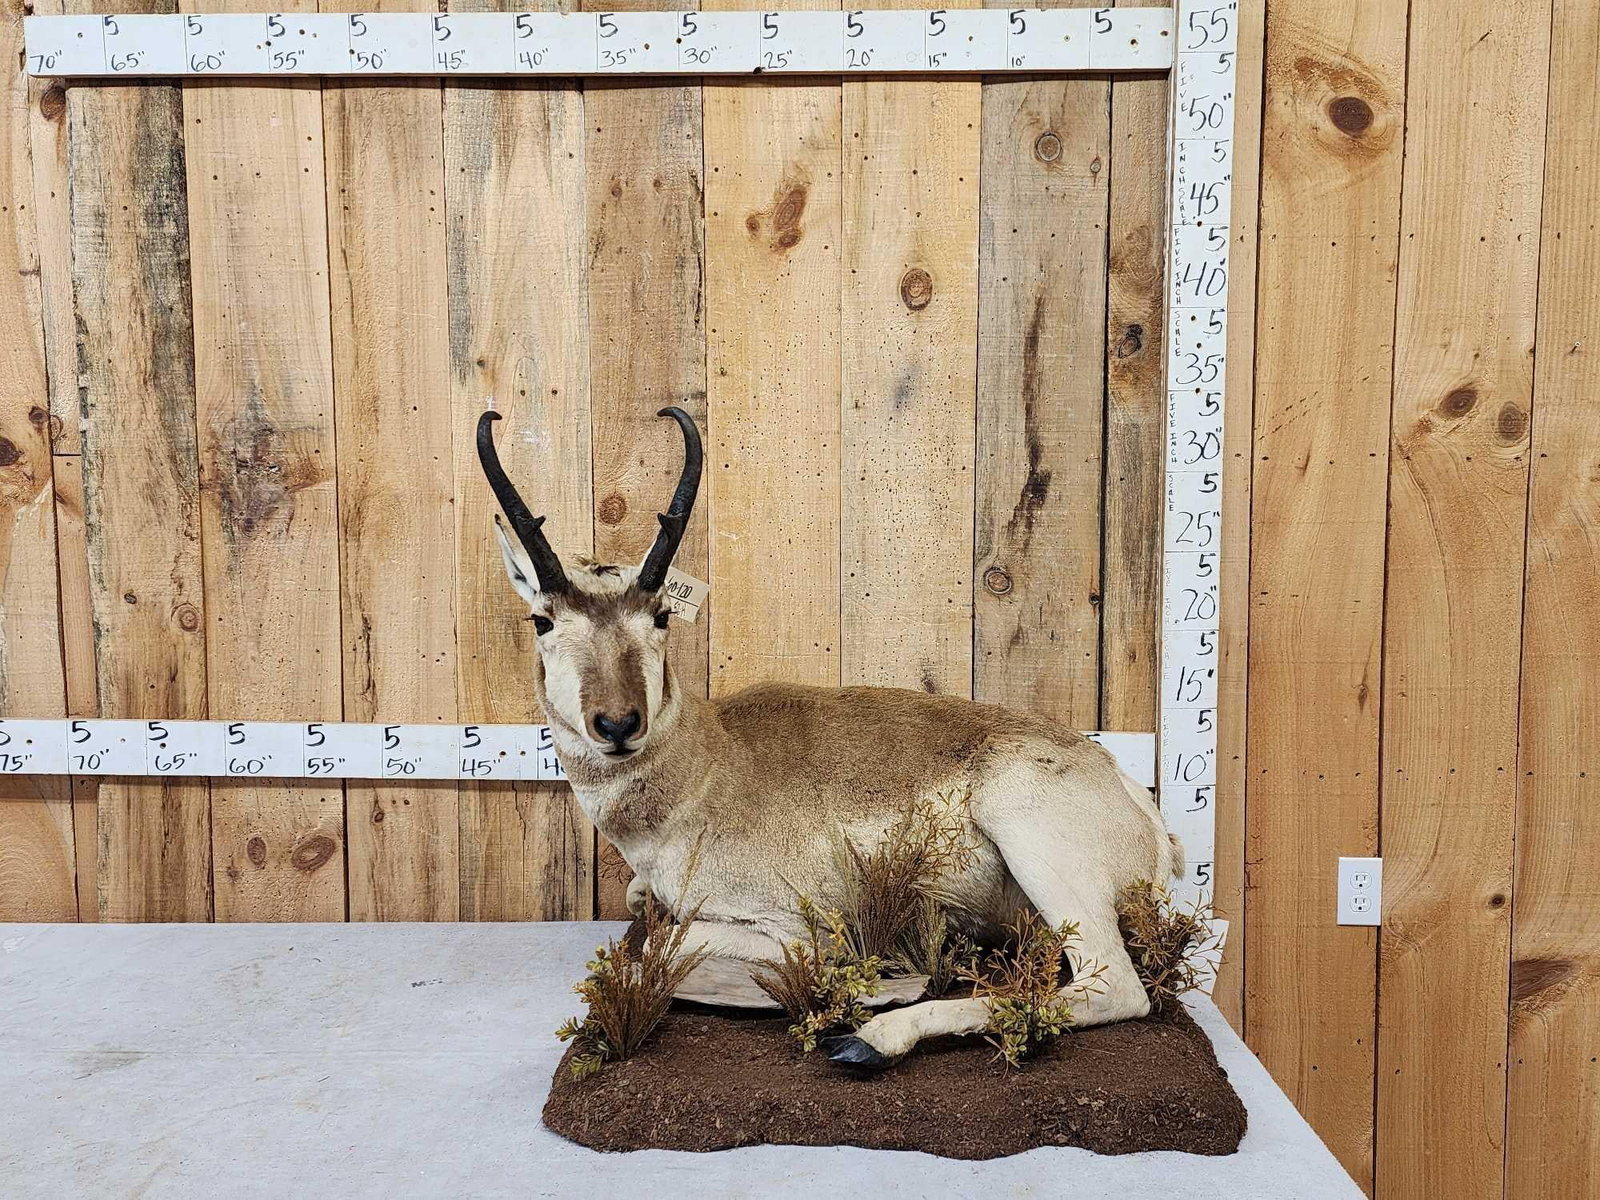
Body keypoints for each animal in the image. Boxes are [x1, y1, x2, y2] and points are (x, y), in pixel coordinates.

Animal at [479, 407, 1182, 1068]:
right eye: (542, 619)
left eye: (660, 614)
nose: (619, 724)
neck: (708, 764)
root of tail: (1130, 797)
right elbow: (636, 903)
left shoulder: (792, 927)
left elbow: (660, 938)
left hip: (1036, 852)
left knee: (1113, 990)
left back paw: (870, 1038)